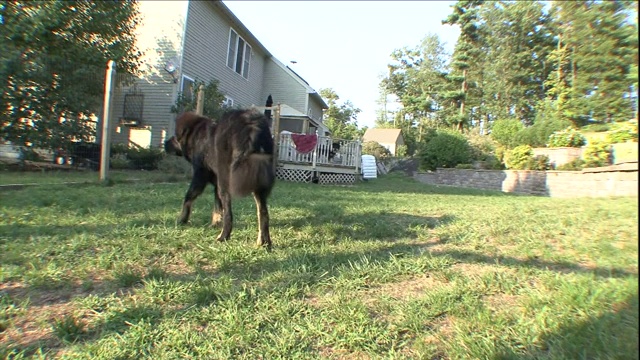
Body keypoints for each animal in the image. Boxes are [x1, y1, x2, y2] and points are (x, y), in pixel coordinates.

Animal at [162, 109, 276, 249]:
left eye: (174, 137)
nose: (164, 143)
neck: (195, 133)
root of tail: (251, 125)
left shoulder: (200, 175)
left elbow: (188, 197)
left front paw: (182, 219)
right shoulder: (216, 182)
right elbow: (217, 205)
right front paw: (215, 222)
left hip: (226, 181)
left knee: (229, 214)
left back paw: (223, 237)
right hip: (257, 182)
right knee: (263, 212)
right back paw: (264, 242)